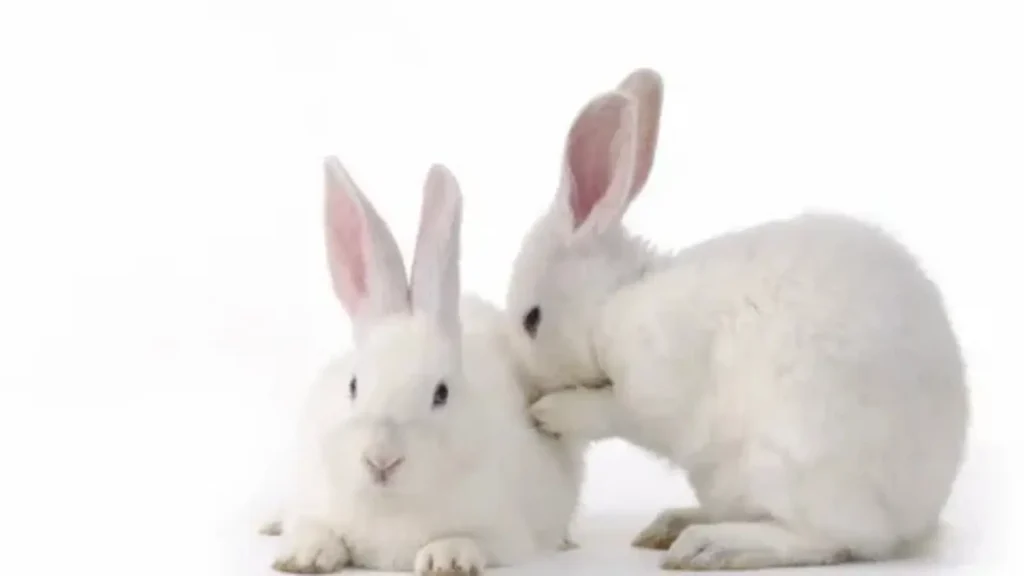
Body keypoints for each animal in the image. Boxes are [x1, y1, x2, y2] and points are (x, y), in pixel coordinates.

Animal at [271, 157, 584, 575]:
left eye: (441, 394)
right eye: (353, 386)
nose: (381, 460)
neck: (391, 507)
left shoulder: (504, 534)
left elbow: (469, 539)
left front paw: (446, 558)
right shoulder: (313, 498)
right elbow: (314, 527)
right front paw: (305, 555)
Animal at [505, 68, 969, 571]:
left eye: (532, 319)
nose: (527, 386)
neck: (611, 303)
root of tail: (919, 515)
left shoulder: (649, 385)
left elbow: (611, 410)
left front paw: (549, 412)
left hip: (789, 461)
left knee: (832, 539)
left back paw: (707, 545)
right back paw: (672, 523)